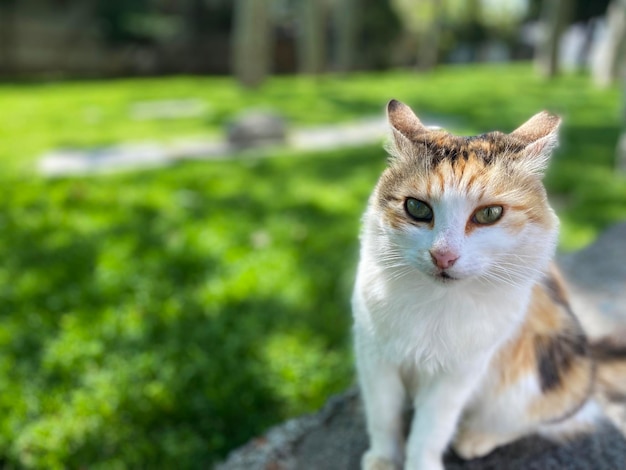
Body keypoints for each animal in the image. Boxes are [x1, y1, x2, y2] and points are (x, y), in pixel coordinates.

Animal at [352, 100, 624, 470]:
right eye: (417, 208)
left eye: (489, 214)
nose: (443, 256)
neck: (435, 305)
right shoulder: (375, 357)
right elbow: (383, 415)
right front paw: (383, 459)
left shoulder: (457, 375)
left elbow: (430, 430)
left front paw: (420, 462)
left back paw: (474, 439)